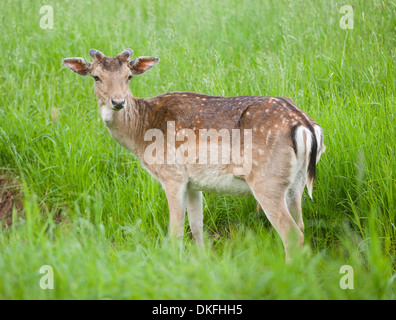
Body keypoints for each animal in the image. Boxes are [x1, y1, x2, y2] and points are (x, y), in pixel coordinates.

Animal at [63, 49, 324, 260]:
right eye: (96, 77)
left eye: (129, 76)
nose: (118, 102)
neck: (140, 133)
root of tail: (305, 126)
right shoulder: (193, 182)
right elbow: (197, 225)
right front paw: (202, 260)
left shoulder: (172, 176)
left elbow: (176, 231)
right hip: (296, 183)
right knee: (301, 225)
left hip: (267, 180)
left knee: (292, 234)